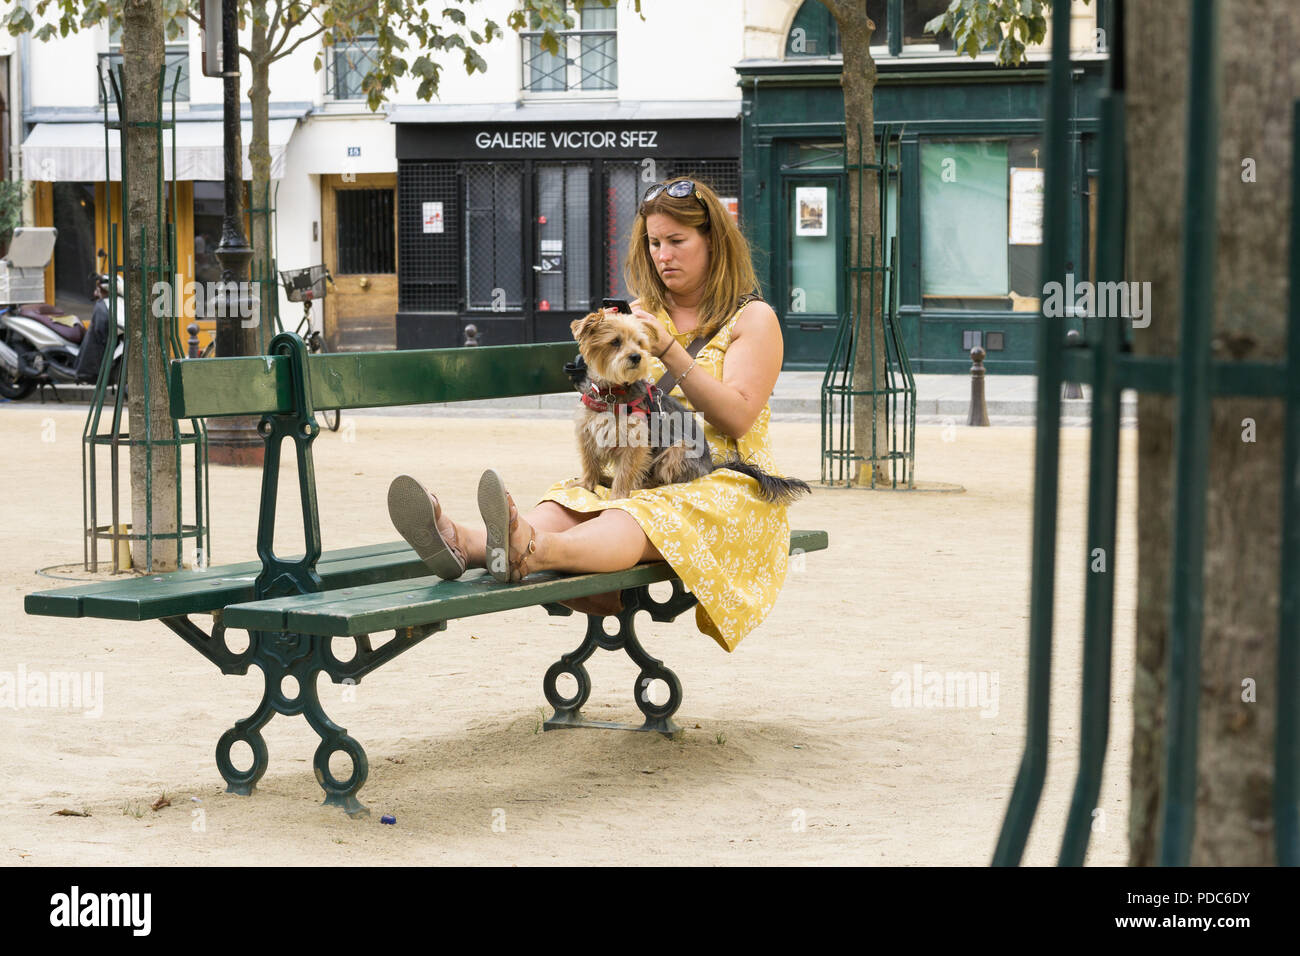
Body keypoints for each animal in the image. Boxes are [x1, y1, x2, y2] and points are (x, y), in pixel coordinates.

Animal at [572, 310, 811, 509]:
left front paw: (617, 496)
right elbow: (589, 463)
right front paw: (586, 484)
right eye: (615, 342)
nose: (637, 356)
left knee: (662, 478)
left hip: (679, 450)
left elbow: (626, 471)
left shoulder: (635, 443)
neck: (612, 392)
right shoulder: (587, 433)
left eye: (640, 343)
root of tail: (711, 467)